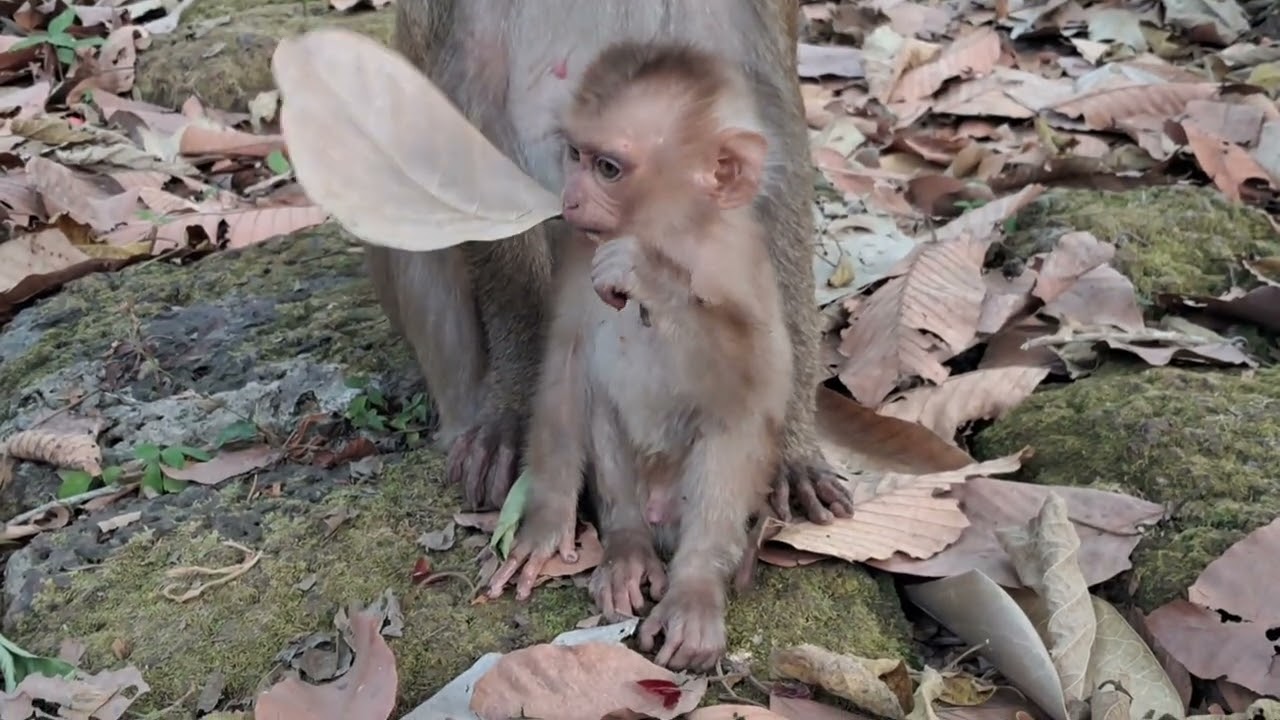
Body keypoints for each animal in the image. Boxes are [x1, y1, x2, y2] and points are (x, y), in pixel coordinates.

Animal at [487, 41, 792, 671]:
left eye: (608, 168)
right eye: (575, 155)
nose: (569, 198)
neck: (671, 232)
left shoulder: (738, 260)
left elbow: (762, 383)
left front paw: (649, 277)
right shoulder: (579, 252)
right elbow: (566, 365)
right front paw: (545, 521)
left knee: (732, 428)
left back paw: (695, 587)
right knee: (600, 402)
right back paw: (627, 548)